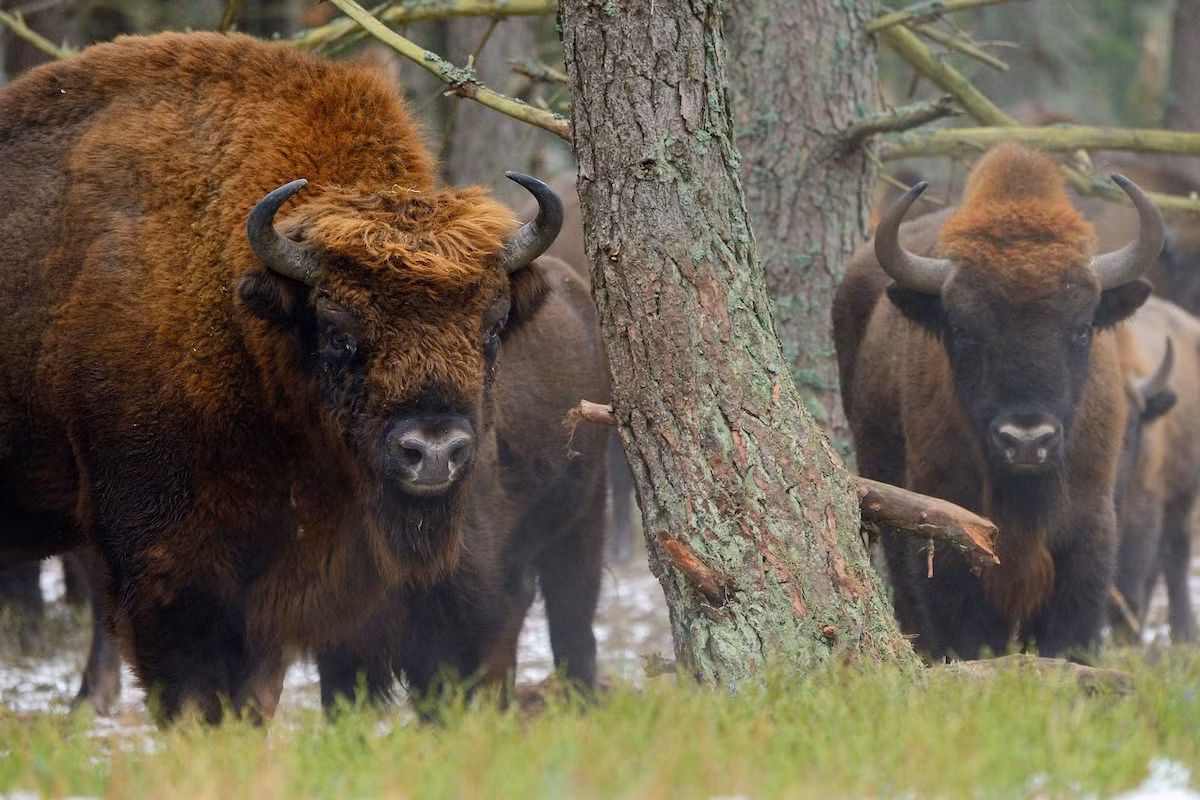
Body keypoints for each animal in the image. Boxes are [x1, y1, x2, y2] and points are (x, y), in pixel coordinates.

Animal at [834, 144, 1164, 661]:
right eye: (963, 331)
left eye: (1081, 328)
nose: (1026, 441)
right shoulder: (946, 530)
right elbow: (965, 630)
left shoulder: (1089, 531)